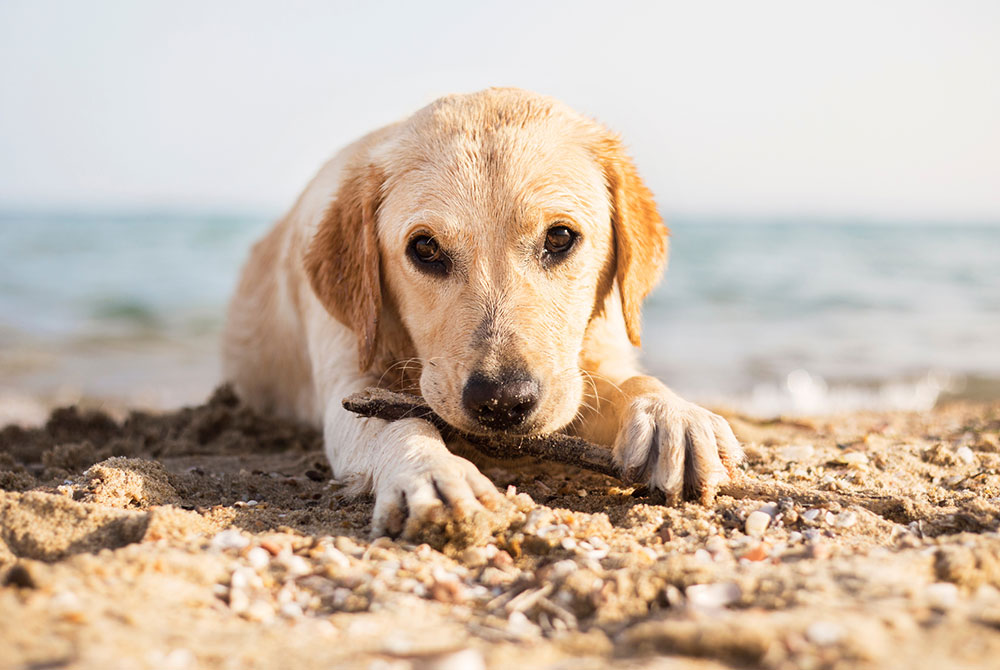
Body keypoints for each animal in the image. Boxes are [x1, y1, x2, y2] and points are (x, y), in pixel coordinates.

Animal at [227, 89, 744, 540]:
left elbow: (631, 381)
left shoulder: (593, 361)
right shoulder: (348, 384)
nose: (501, 401)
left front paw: (672, 416)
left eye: (560, 237)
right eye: (425, 248)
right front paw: (432, 472)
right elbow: (398, 422)